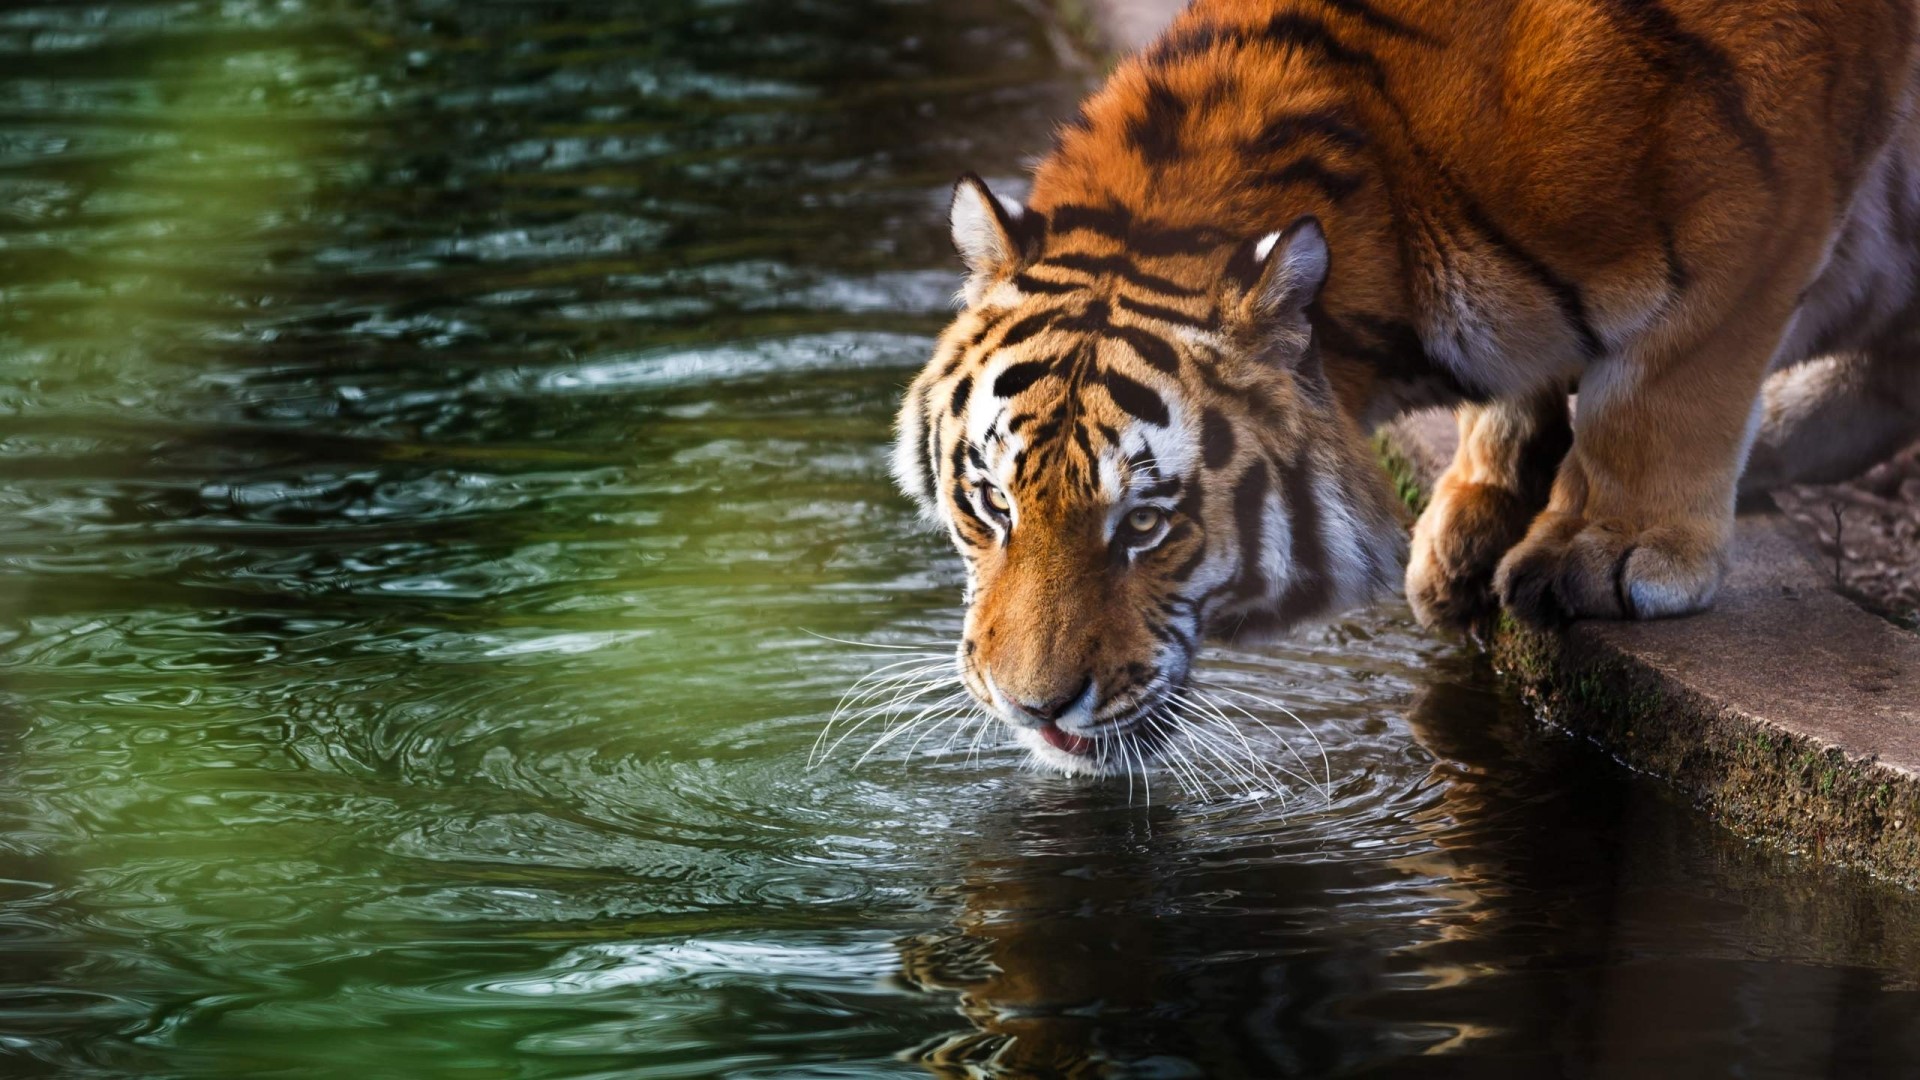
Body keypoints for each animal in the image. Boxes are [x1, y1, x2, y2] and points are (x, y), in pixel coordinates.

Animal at [893, 0, 1920, 775]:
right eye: (991, 505)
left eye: (1146, 523)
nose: (1032, 709)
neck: (1390, 183)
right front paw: (1473, 520)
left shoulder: (1763, 203)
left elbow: (1663, 385)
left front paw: (1607, 547)